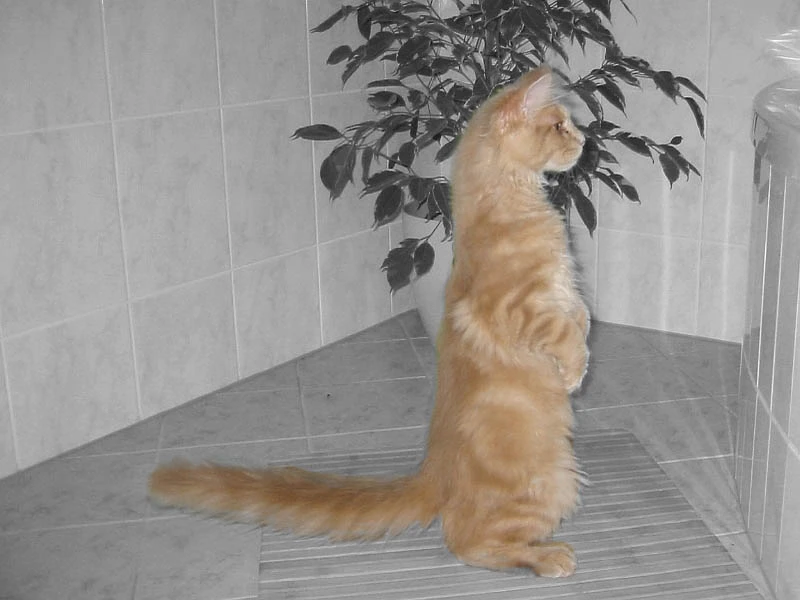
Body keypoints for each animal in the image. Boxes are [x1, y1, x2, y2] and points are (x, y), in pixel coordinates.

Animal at [148, 66, 590, 578]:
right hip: (551, 481)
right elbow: (565, 333)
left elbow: (582, 316)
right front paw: (576, 373)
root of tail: (434, 470)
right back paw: (547, 556)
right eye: (558, 126)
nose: (584, 138)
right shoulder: (519, 308)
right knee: (467, 542)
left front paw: (584, 348)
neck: (512, 203)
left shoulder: (567, 291)